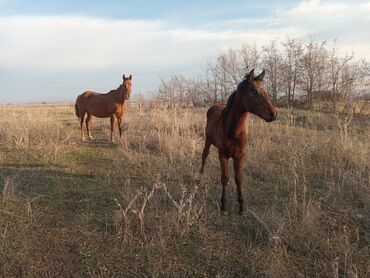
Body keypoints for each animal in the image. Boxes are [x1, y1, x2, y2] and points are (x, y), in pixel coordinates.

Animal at [201, 69, 276, 213]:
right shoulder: (223, 155)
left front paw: (241, 205)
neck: (233, 131)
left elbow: (238, 178)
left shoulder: (239, 156)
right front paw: (223, 204)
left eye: (265, 90)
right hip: (207, 140)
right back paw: (199, 174)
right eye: (254, 91)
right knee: (204, 155)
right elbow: (225, 178)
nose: (274, 114)